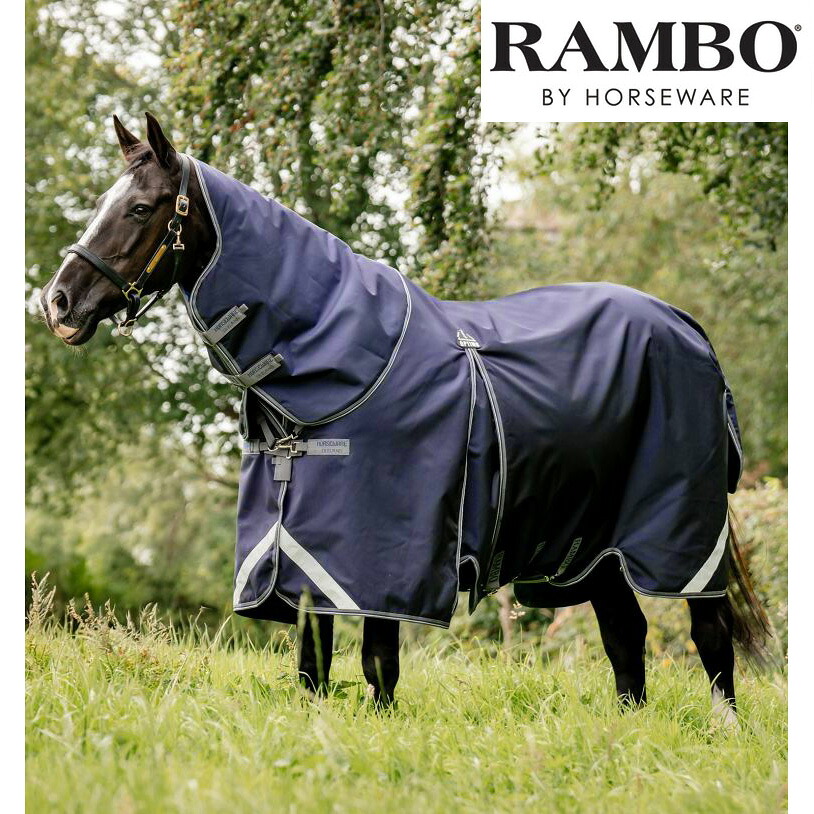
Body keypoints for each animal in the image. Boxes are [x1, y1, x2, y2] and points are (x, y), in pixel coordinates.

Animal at [38, 113, 771, 720]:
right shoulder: (303, 553)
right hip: (594, 548)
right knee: (626, 634)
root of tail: (687, 328)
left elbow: (376, 663)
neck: (335, 358)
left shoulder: (378, 557)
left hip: (679, 534)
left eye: (140, 207)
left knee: (708, 633)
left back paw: (723, 729)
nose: (58, 303)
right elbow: (313, 663)